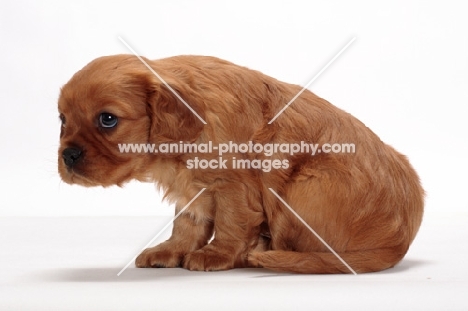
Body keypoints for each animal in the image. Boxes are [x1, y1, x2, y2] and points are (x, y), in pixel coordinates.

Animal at [58, 54, 424, 274]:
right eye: (61, 119)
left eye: (107, 119)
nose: (67, 155)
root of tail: (399, 244)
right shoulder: (191, 187)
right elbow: (187, 223)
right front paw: (172, 250)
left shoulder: (235, 185)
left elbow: (231, 222)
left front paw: (217, 254)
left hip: (304, 188)